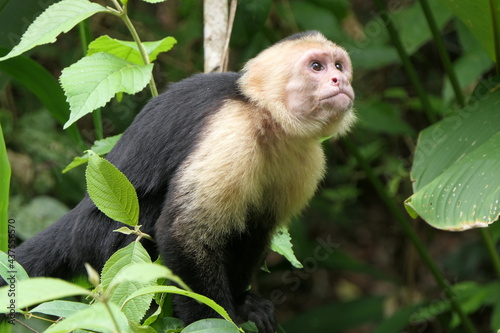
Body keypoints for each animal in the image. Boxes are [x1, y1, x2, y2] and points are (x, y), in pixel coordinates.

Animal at [6, 30, 356, 330]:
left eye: (338, 66)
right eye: (316, 67)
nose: (340, 79)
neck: (266, 117)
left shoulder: (306, 159)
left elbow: (257, 228)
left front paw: (243, 303)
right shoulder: (233, 131)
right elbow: (183, 233)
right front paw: (217, 320)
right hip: (100, 238)